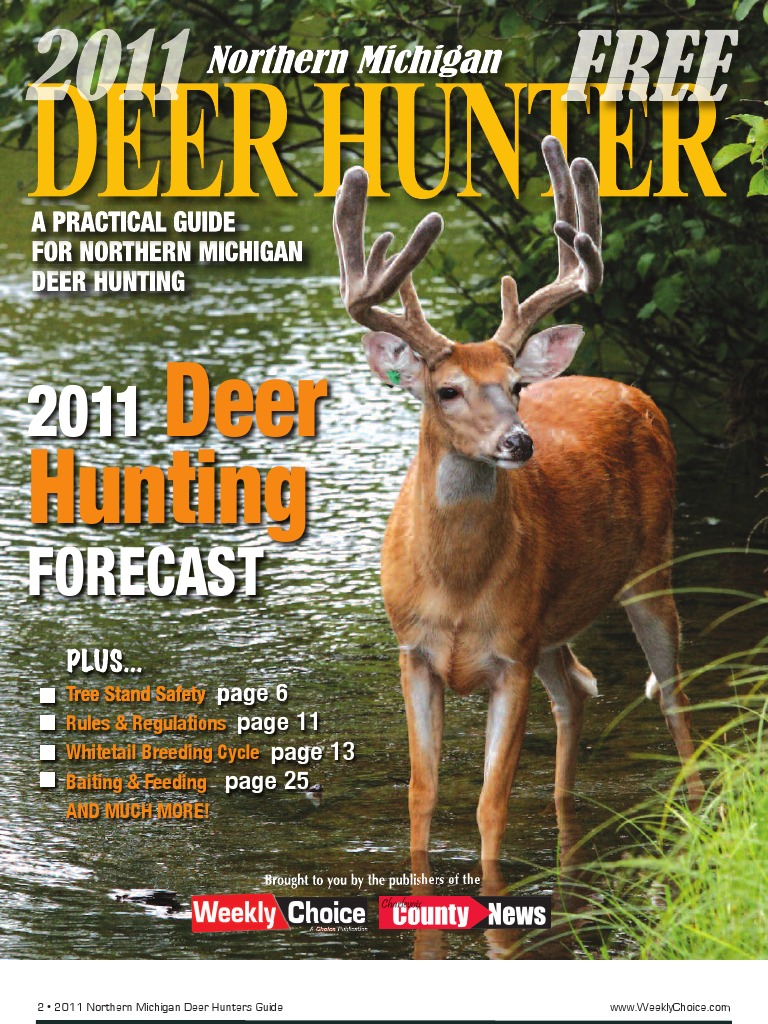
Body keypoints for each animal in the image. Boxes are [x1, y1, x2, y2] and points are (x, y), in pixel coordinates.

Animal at [333, 136, 704, 864]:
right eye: (446, 389)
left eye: (515, 385)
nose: (519, 441)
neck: (455, 587)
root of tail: (631, 389)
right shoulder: (413, 652)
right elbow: (421, 797)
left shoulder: (512, 652)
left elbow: (490, 805)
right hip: (555, 621)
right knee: (579, 689)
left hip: (652, 565)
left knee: (675, 701)